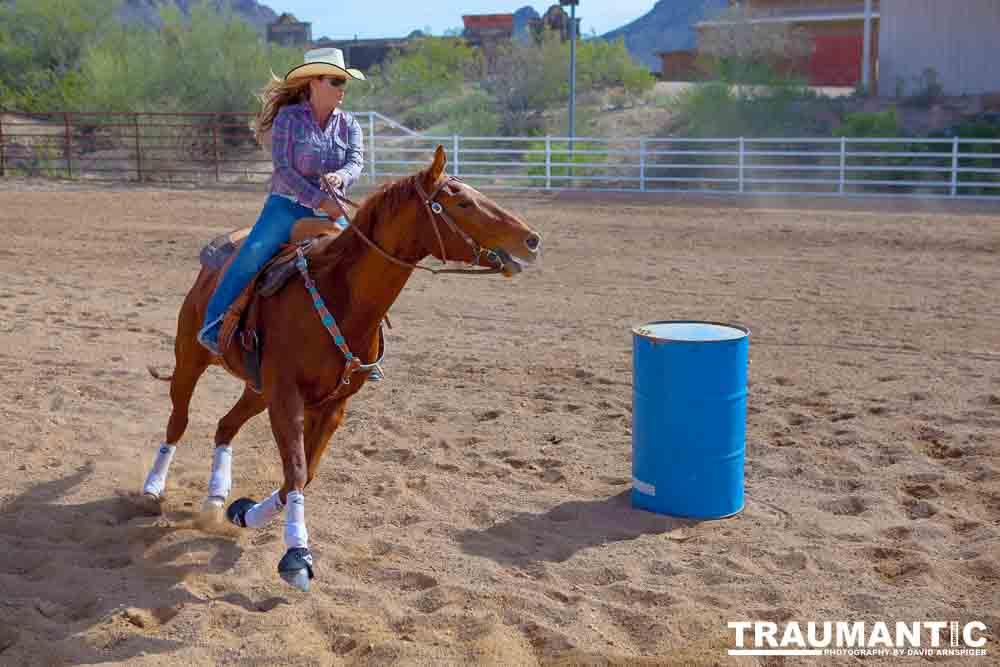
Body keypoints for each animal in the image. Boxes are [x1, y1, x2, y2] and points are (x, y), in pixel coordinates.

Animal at [143, 146, 540, 588]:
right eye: (462, 202)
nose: (530, 239)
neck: (340, 296)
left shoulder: (333, 405)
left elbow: (301, 475)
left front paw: (245, 512)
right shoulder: (287, 397)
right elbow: (297, 470)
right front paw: (297, 554)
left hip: (257, 390)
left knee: (225, 426)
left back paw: (215, 499)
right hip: (190, 360)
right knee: (178, 421)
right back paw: (154, 487)